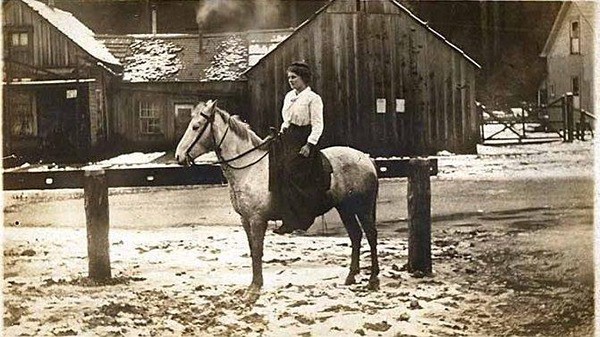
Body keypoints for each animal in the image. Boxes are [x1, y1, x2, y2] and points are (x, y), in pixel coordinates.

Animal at [175, 100, 380, 300]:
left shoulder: (258, 219)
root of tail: (366, 159)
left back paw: (373, 280)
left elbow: (258, 251)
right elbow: (253, 251)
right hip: (345, 208)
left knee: (370, 235)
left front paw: (254, 289)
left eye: (196, 126)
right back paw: (351, 276)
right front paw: (253, 286)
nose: (179, 156)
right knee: (356, 235)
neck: (248, 169)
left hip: (363, 208)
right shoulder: (245, 220)